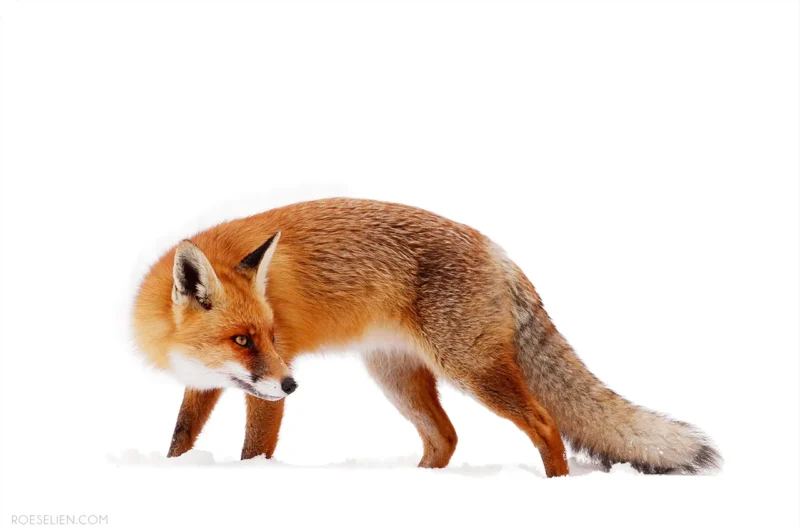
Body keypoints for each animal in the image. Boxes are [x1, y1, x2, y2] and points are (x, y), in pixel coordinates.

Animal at [132, 198, 721, 477]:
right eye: (241, 340)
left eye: (272, 336)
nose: (294, 385)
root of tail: (497, 250)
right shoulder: (205, 384)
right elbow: (181, 438)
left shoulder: (266, 390)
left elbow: (254, 448)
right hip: (398, 377)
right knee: (445, 438)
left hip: (471, 370)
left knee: (543, 422)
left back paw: (556, 487)